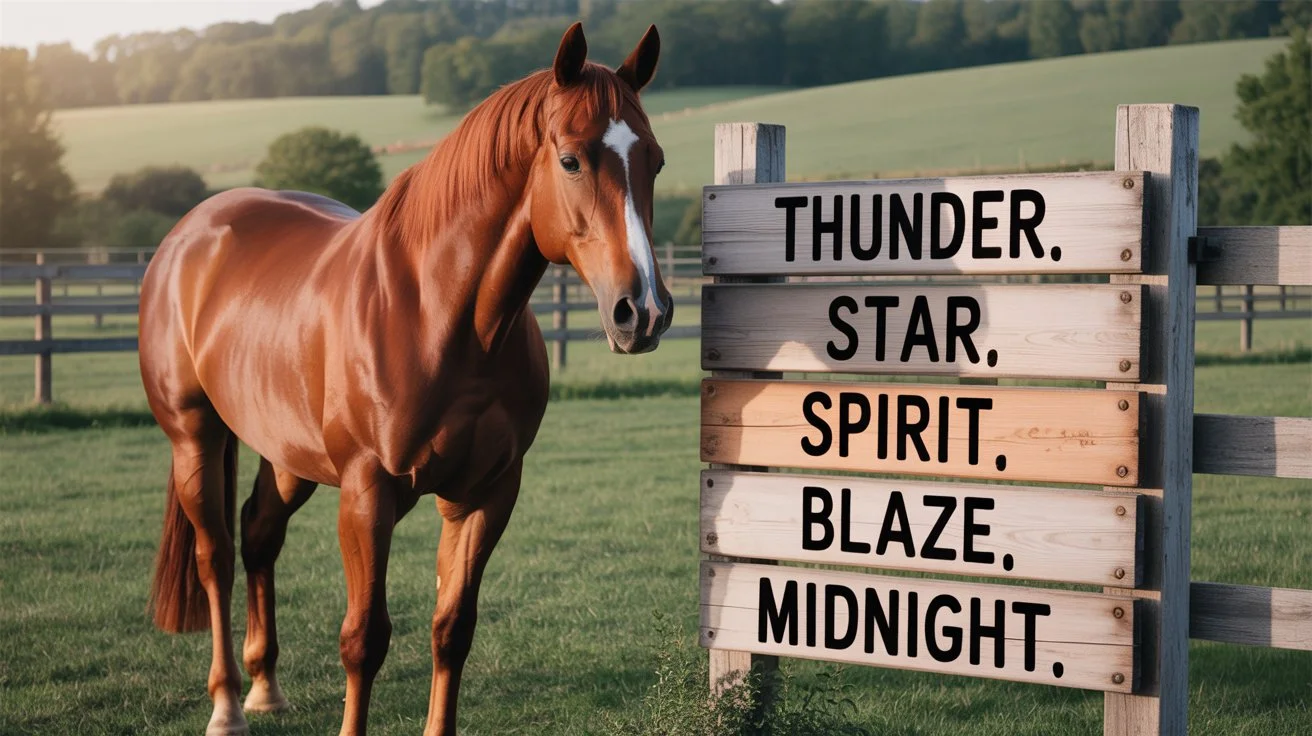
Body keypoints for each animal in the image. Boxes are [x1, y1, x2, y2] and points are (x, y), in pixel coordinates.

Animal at [138, 22, 669, 736]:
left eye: (655, 162)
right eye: (571, 161)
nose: (643, 311)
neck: (439, 312)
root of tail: (188, 236)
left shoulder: (486, 494)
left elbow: (452, 629)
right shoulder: (368, 493)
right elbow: (365, 638)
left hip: (288, 453)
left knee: (258, 534)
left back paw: (265, 688)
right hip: (195, 436)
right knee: (215, 554)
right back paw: (226, 705)